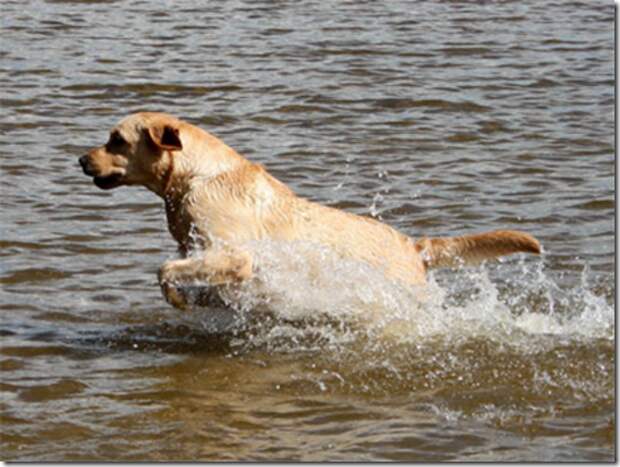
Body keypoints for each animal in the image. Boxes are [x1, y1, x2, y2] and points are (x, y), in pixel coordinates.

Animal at [80, 112, 540, 310]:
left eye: (116, 139)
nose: (81, 159)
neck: (197, 176)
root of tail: (415, 246)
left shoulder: (235, 254)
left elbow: (163, 270)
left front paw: (177, 299)